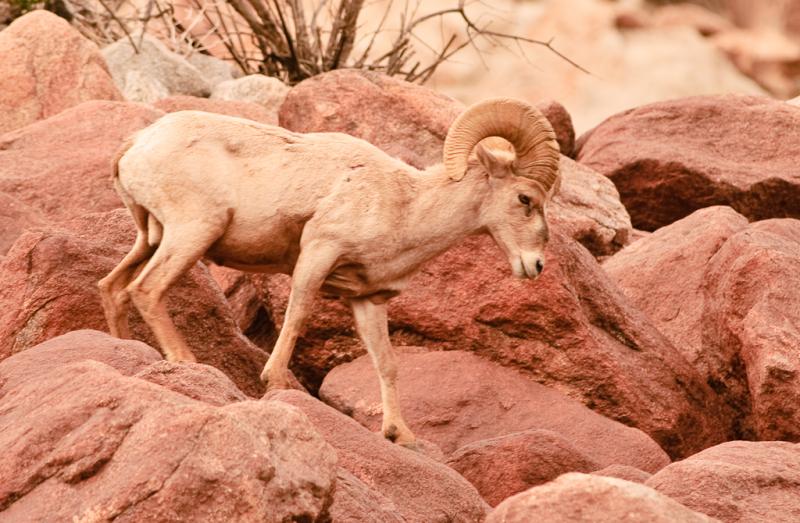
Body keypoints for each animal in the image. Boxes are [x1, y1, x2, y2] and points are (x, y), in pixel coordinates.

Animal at [98, 98, 561, 447]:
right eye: (525, 198)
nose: (535, 265)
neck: (406, 206)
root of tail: (137, 144)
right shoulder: (318, 255)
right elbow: (297, 317)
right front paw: (276, 383)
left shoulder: (367, 300)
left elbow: (387, 363)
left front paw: (400, 435)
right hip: (191, 233)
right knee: (147, 289)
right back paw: (185, 360)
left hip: (151, 237)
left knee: (113, 288)